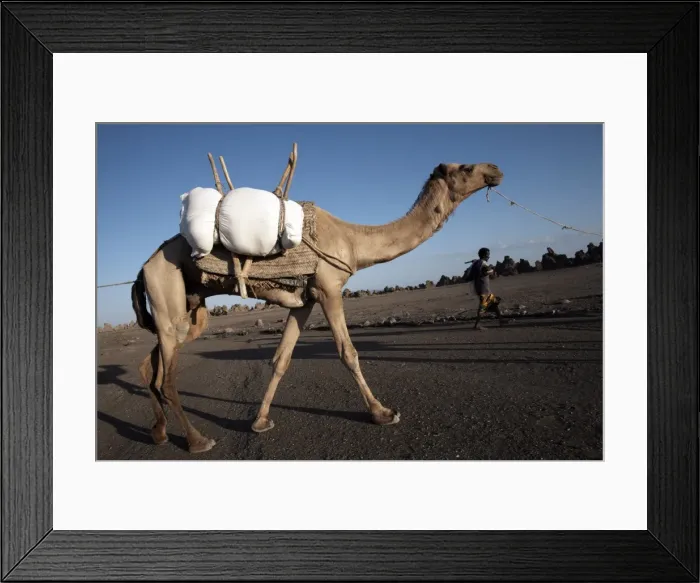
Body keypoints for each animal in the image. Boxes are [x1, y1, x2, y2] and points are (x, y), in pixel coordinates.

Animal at [130, 160, 504, 453]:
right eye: (466, 167)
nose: (496, 170)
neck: (353, 241)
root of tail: (145, 266)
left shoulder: (304, 301)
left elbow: (281, 359)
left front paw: (260, 421)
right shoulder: (329, 289)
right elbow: (348, 352)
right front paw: (382, 413)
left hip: (187, 309)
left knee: (151, 367)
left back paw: (159, 432)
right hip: (168, 293)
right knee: (166, 378)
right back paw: (197, 440)